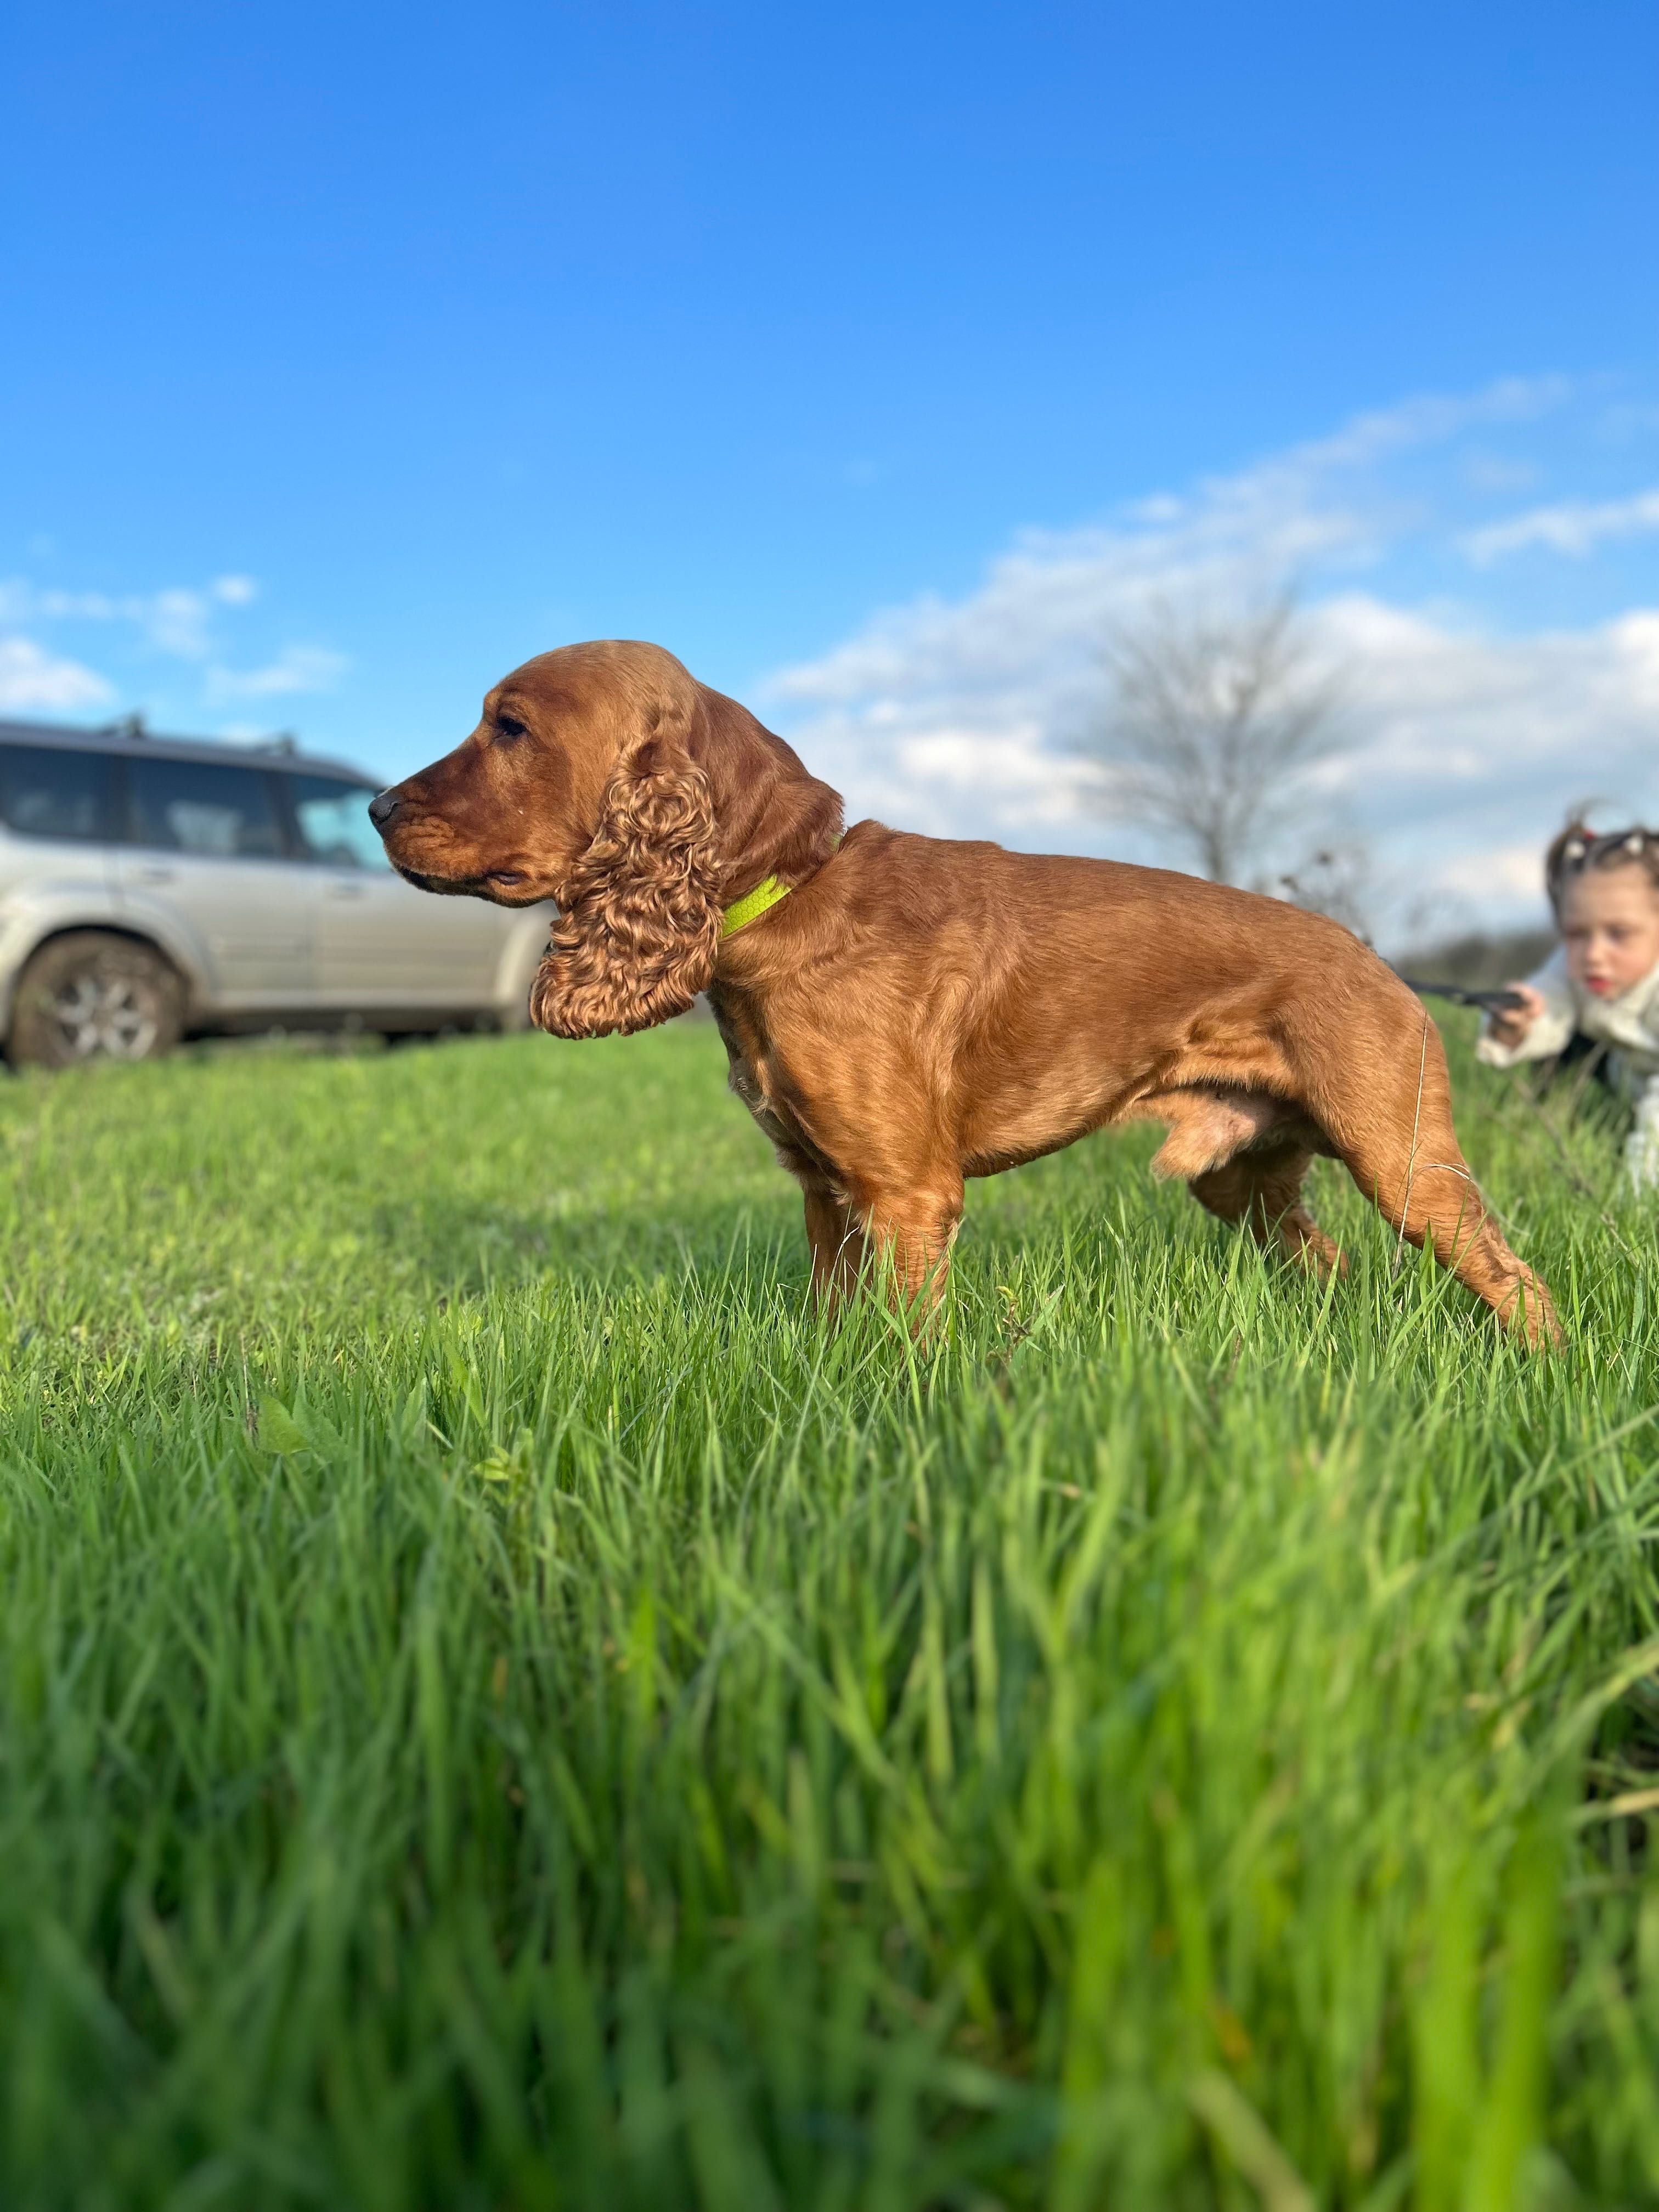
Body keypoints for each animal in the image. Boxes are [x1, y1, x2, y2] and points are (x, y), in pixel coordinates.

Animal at [374, 633, 1557, 1336]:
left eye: (510, 727)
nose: (377, 809)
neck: (787, 901)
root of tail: (1373, 954)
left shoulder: (906, 1193)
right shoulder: (824, 1190)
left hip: (1405, 1163)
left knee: (1517, 1280)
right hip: (1243, 1179)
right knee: (1330, 1264)